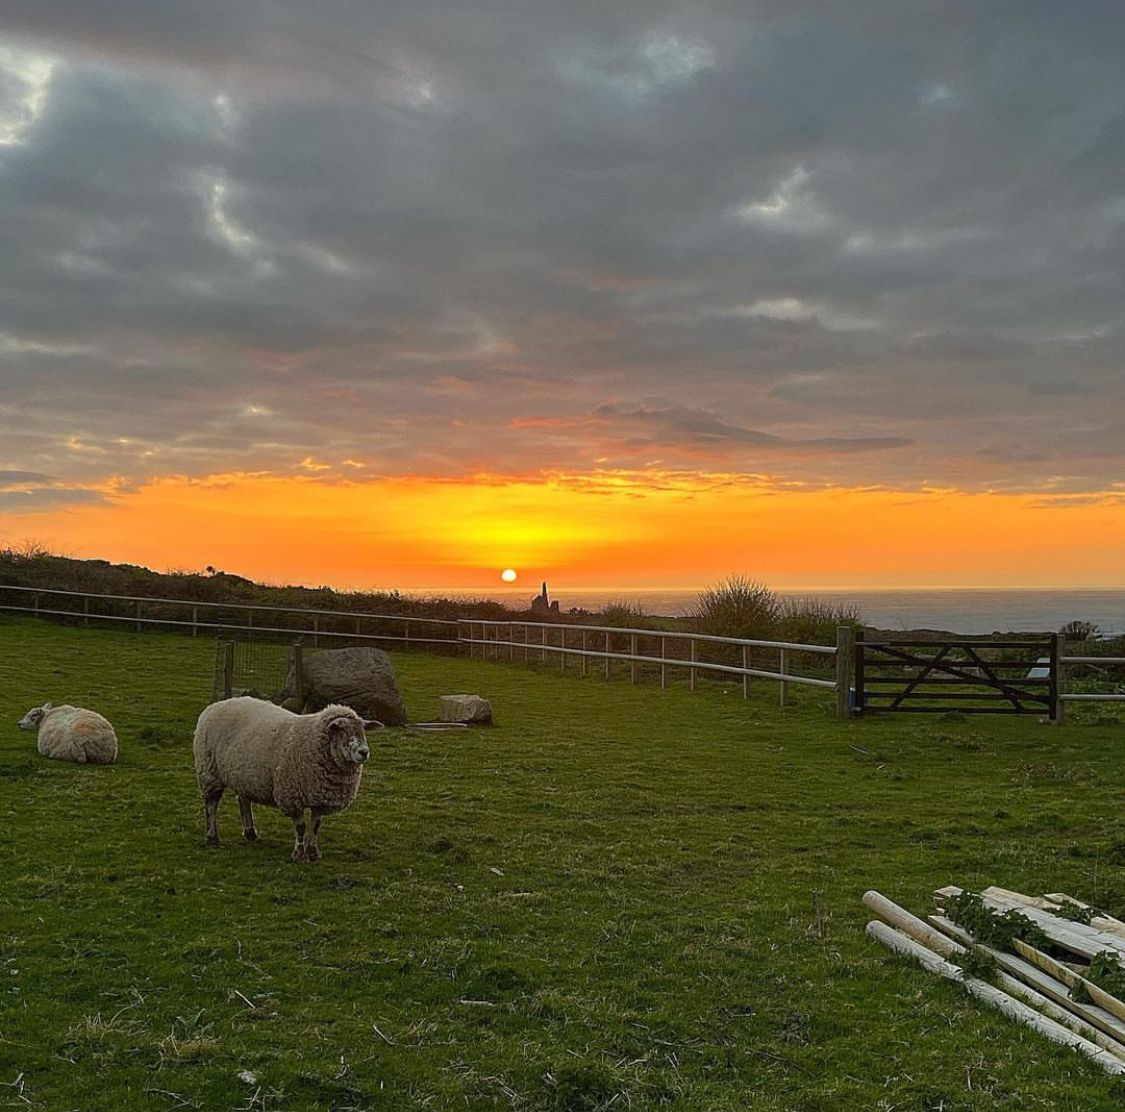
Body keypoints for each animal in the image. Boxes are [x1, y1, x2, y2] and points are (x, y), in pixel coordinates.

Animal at [189, 697, 373, 864]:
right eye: (342, 729)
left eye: (363, 730)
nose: (364, 752)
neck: (313, 740)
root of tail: (217, 704)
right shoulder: (291, 796)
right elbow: (301, 827)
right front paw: (299, 855)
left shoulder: (321, 797)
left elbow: (315, 826)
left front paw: (313, 852)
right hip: (209, 771)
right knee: (211, 805)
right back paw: (212, 836)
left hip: (245, 775)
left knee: (243, 801)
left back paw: (250, 832)